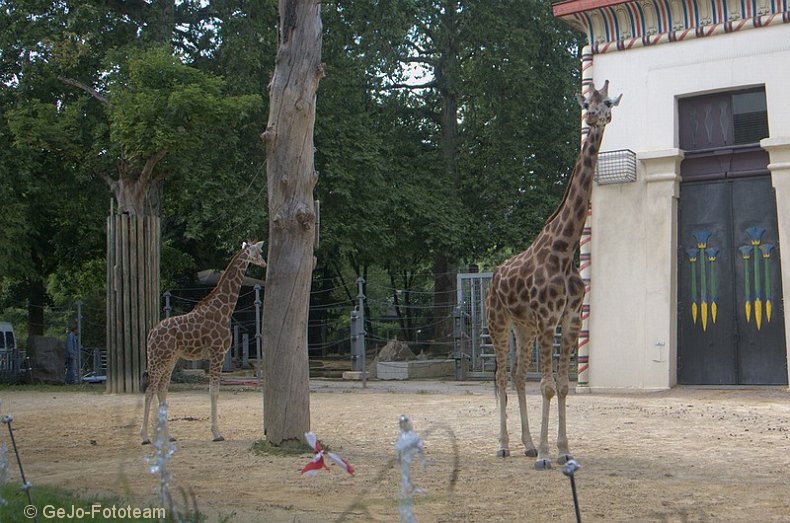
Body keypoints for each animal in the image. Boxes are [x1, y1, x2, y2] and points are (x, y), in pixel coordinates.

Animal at [141, 239, 268, 444]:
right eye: (257, 252)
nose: (264, 263)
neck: (224, 309)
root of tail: (151, 333)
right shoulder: (217, 353)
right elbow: (214, 391)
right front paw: (217, 434)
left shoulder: (215, 355)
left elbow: (213, 391)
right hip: (158, 359)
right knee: (150, 390)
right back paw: (145, 436)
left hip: (170, 359)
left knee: (161, 389)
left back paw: (169, 436)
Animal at [486, 81, 620, 470]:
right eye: (585, 103)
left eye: (608, 102)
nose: (594, 118)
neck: (565, 249)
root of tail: (493, 277)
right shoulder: (548, 319)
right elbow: (545, 385)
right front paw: (547, 455)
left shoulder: (571, 319)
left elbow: (560, 386)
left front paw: (561, 450)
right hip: (498, 321)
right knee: (500, 376)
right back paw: (503, 445)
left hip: (523, 327)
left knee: (517, 375)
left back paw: (527, 443)